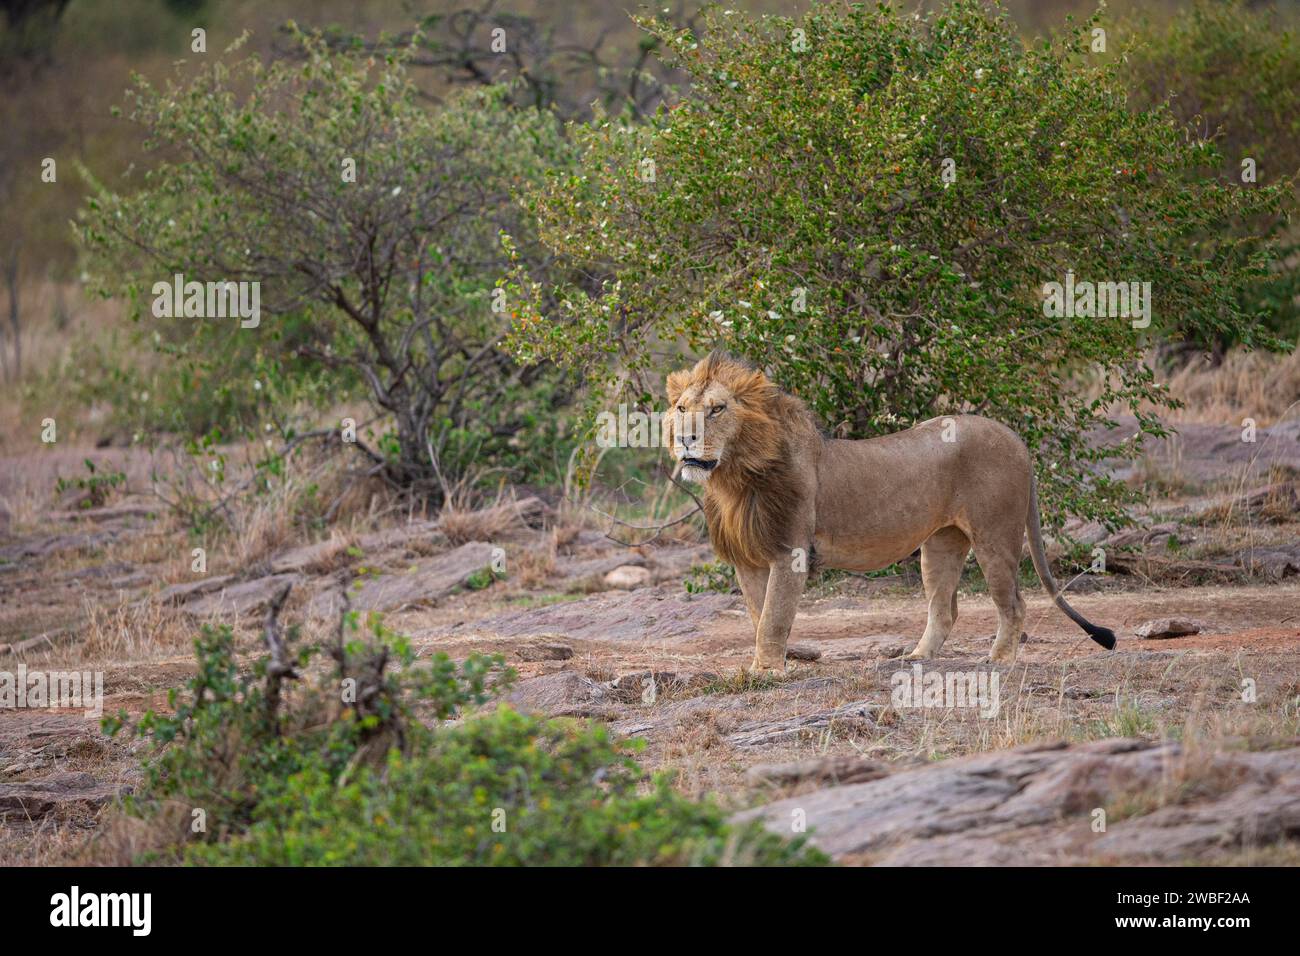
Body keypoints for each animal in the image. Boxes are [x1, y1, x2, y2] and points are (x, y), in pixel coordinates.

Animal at [665, 352, 1116, 671]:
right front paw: (774, 661)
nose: (688, 438)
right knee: (945, 609)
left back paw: (999, 659)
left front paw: (765, 670)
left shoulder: (789, 550)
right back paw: (916, 657)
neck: (735, 478)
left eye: (717, 409)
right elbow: (758, 614)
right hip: (942, 543)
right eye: (683, 408)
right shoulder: (749, 558)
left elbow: (773, 617)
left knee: (1014, 603)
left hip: (995, 534)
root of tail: (1015, 437)